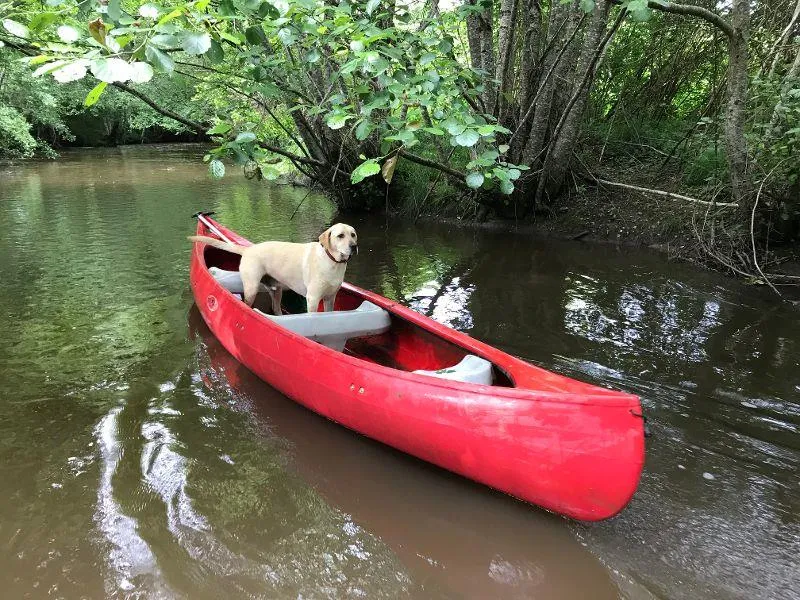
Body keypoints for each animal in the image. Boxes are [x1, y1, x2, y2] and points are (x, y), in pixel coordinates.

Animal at [189, 221, 358, 314]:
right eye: (340, 236)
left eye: (353, 234)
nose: (354, 246)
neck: (333, 263)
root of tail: (248, 250)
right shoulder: (313, 299)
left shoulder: (330, 298)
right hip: (251, 289)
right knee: (248, 306)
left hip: (276, 291)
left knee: (276, 309)